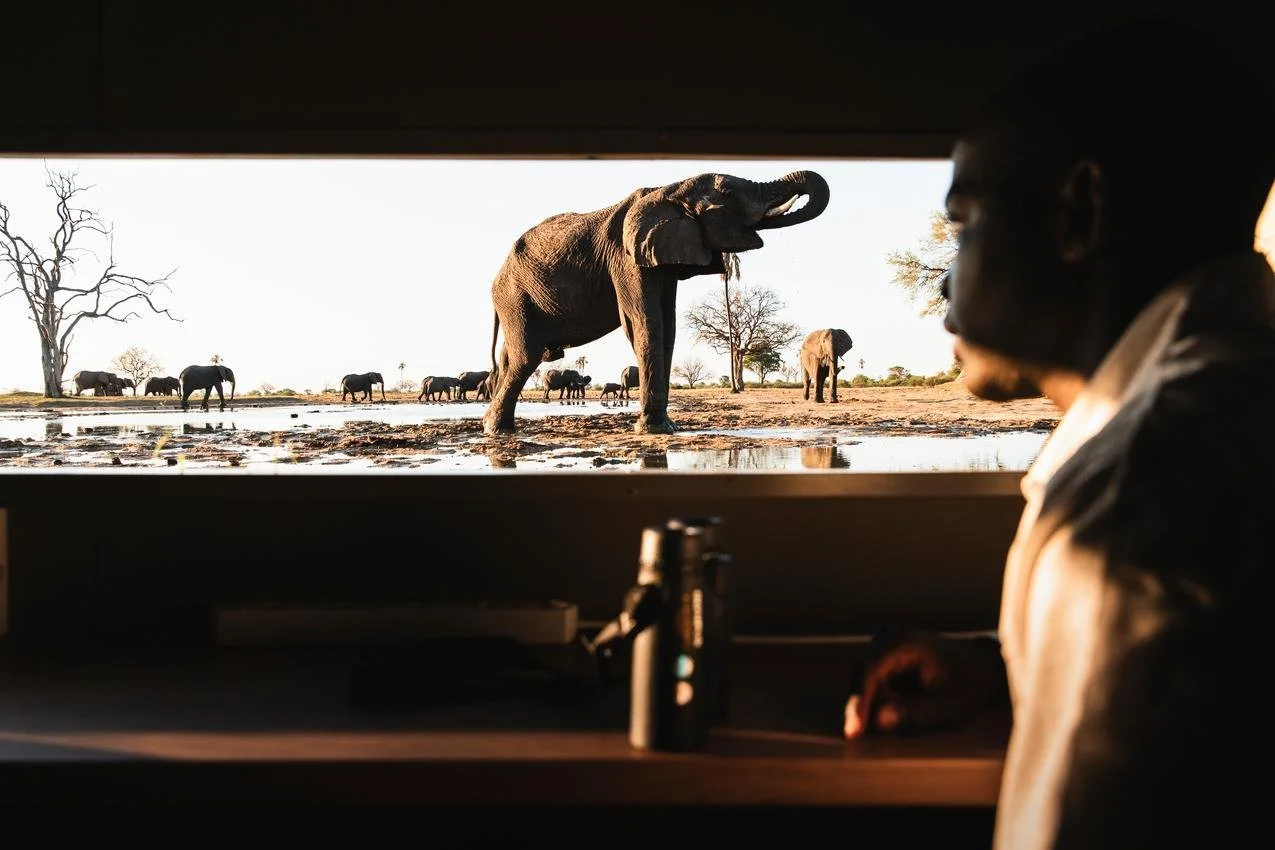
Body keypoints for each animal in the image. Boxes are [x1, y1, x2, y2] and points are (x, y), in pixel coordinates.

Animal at [481, 170, 830, 436]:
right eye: (728, 192)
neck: (669, 190)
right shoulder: (626, 258)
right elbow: (645, 323)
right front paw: (653, 430)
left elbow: (668, 327)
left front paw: (666, 427)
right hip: (515, 297)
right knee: (526, 356)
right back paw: (498, 430)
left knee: (511, 357)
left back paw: (493, 426)